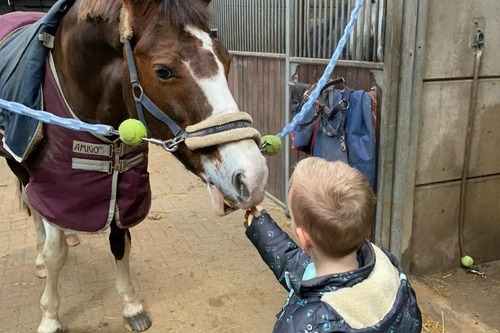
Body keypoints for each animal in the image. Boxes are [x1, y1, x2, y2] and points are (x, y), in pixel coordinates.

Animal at [0, 1, 270, 330]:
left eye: (226, 60)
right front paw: (50, 316)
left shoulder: (123, 186)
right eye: (163, 71)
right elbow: (54, 253)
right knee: (33, 206)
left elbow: (120, 242)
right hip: (19, 166)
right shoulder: (54, 187)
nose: (253, 176)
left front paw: (131, 306)